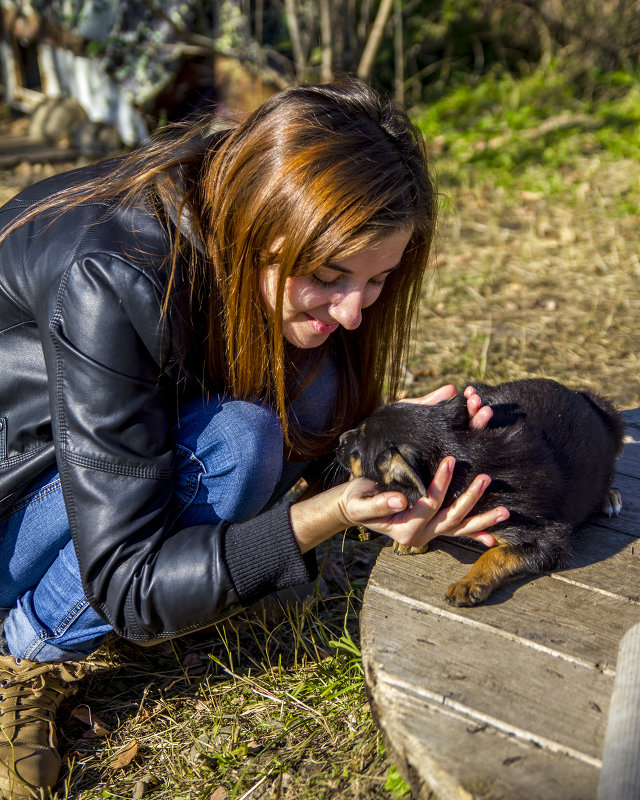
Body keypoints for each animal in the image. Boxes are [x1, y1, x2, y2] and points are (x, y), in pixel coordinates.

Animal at [338, 382, 624, 608]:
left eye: (359, 445)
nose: (340, 439)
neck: (459, 454)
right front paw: (413, 540)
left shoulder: (549, 539)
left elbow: (497, 554)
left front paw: (469, 583)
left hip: (611, 416)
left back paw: (609, 496)